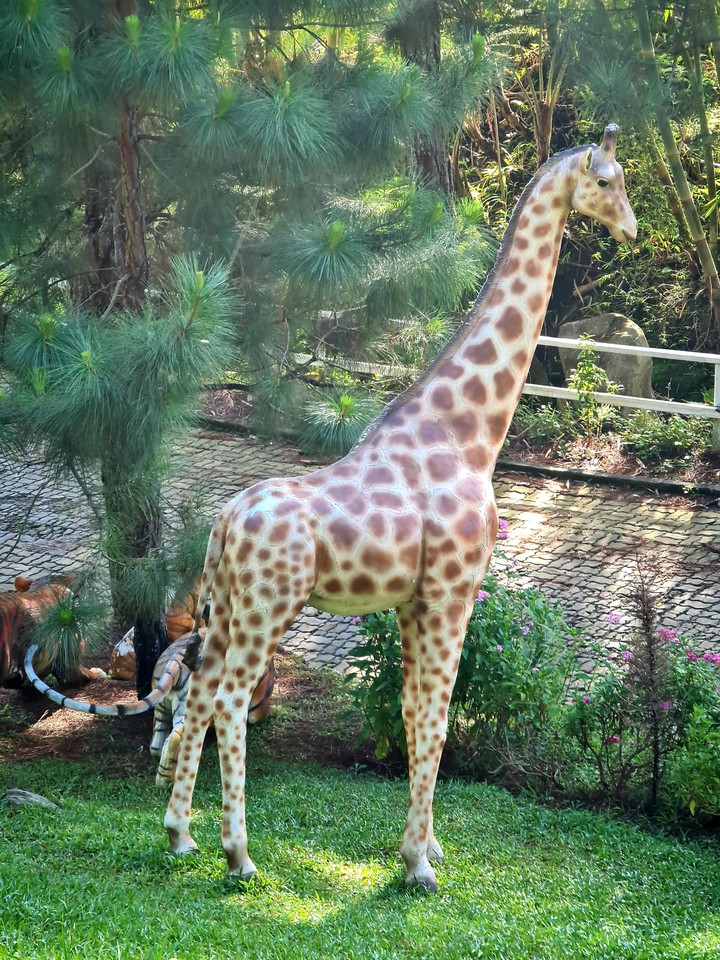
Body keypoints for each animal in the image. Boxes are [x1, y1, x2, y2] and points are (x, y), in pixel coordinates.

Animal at [164, 125, 637, 891]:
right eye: (606, 181)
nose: (631, 227)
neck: (469, 434)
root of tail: (223, 524)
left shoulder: (417, 600)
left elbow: (417, 712)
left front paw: (429, 846)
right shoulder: (452, 591)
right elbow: (438, 717)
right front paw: (416, 864)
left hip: (232, 611)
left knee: (200, 691)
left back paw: (180, 834)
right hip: (272, 609)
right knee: (232, 703)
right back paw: (239, 853)